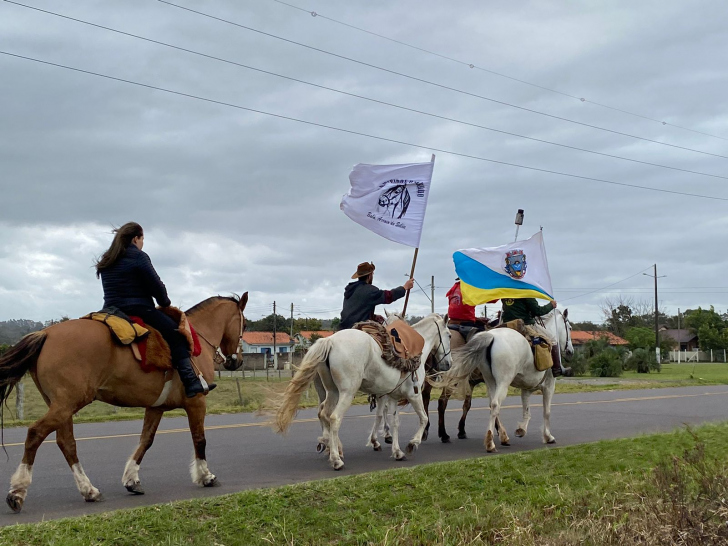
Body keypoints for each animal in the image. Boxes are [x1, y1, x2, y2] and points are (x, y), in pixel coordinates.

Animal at [0, 294, 247, 510]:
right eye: (243, 326)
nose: (236, 361)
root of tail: (45, 333)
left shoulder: (156, 407)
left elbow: (146, 441)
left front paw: (132, 479)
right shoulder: (196, 402)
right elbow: (199, 439)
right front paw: (206, 476)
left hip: (62, 406)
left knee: (66, 443)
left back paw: (88, 490)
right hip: (66, 404)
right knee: (35, 433)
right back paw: (18, 491)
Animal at [270, 312, 452, 470]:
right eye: (450, 335)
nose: (448, 364)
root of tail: (330, 341)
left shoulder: (392, 396)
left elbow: (394, 422)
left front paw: (397, 452)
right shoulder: (413, 395)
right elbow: (423, 418)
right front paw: (413, 443)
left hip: (332, 392)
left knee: (323, 414)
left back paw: (331, 446)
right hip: (347, 392)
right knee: (334, 418)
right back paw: (336, 459)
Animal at [436, 306, 572, 450]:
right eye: (569, 327)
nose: (570, 351)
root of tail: (491, 336)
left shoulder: (526, 388)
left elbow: (526, 410)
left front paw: (521, 429)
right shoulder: (549, 386)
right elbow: (546, 411)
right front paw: (548, 436)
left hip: (490, 381)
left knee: (491, 404)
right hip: (501, 382)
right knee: (490, 404)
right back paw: (486, 441)